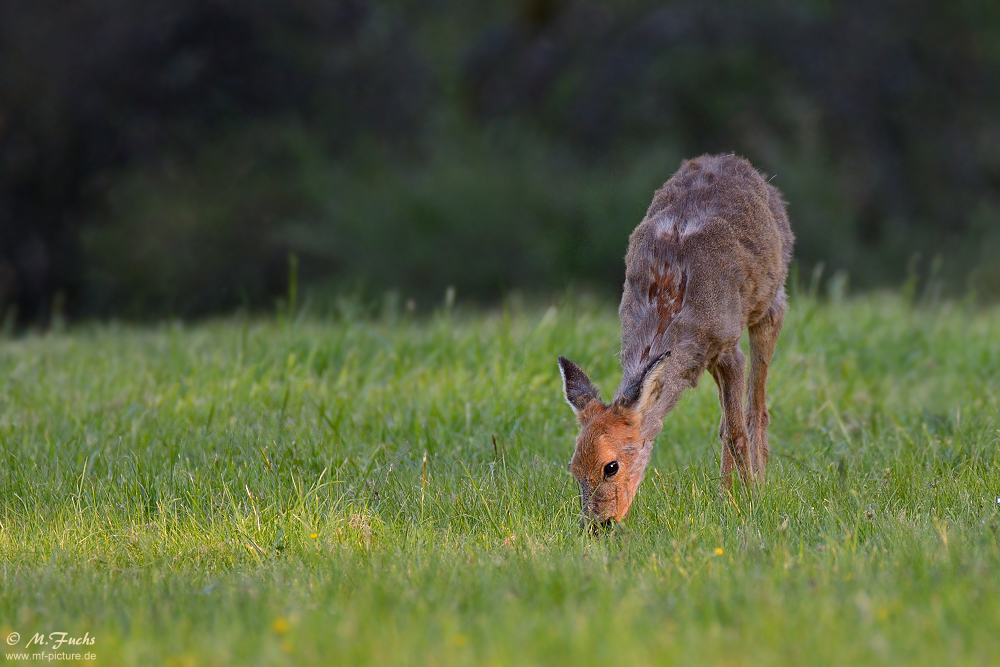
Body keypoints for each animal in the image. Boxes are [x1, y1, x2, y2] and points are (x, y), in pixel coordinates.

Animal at [560, 154, 792, 524]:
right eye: (573, 469)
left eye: (611, 466)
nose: (598, 524)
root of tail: (728, 158)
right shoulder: (705, 354)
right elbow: (727, 427)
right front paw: (731, 501)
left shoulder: (729, 347)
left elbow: (738, 432)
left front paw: (754, 503)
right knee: (728, 420)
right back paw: (726, 495)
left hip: (771, 303)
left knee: (756, 409)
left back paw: (759, 482)